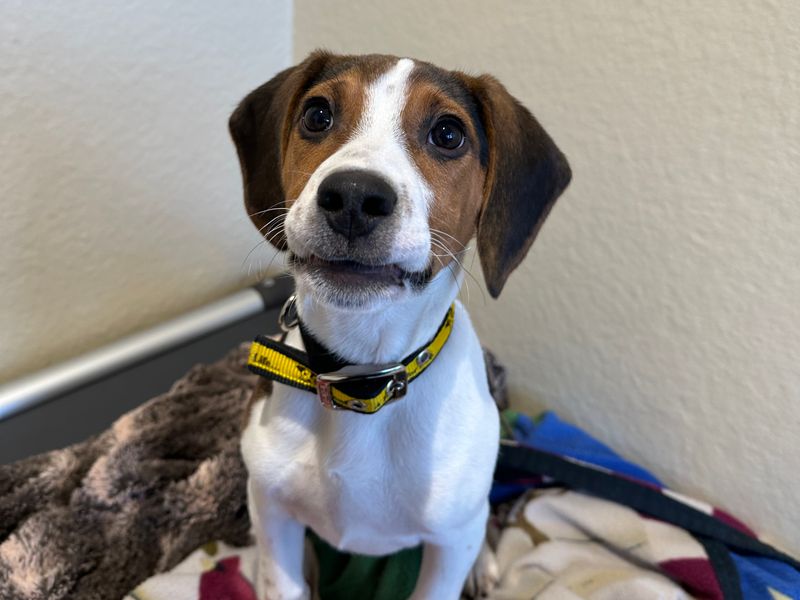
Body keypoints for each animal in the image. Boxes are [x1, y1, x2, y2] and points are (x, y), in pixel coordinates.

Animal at [228, 52, 572, 600]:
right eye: (317, 115)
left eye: (448, 134)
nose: (352, 195)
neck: (363, 380)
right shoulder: (272, 507)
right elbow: (285, 582)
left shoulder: (449, 544)